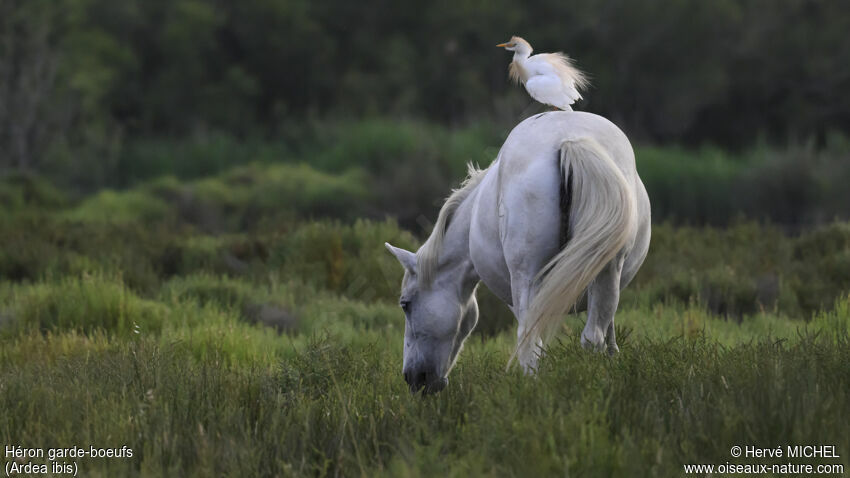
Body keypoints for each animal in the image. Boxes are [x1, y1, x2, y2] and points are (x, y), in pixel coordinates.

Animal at [384, 111, 648, 392]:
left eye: (405, 304)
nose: (413, 378)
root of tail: (570, 141)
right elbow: (609, 334)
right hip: (608, 270)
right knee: (592, 337)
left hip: (527, 279)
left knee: (530, 343)